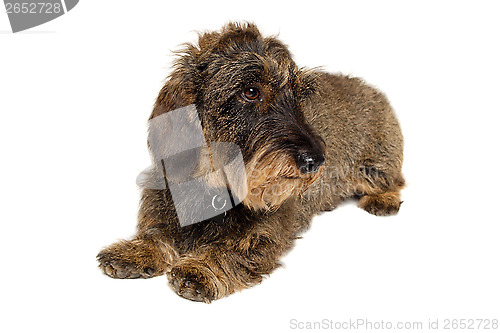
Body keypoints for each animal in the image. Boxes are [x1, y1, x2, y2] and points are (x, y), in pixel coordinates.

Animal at [97, 22, 406, 302]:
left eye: (299, 97)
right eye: (251, 92)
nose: (316, 160)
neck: (213, 181)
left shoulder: (265, 233)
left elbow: (233, 250)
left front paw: (201, 269)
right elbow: (156, 231)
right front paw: (137, 250)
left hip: (376, 167)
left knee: (395, 181)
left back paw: (383, 199)